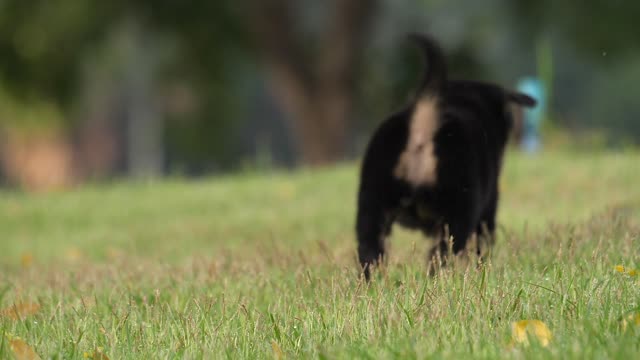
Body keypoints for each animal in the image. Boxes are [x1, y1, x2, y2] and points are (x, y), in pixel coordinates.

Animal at [356, 33, 536, 280]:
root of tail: (425, 115)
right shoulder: (487, 209)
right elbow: (483, 246)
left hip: (372, 203)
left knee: (370, 251)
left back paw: (373, 282)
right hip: (458, 212)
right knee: (440, 255)